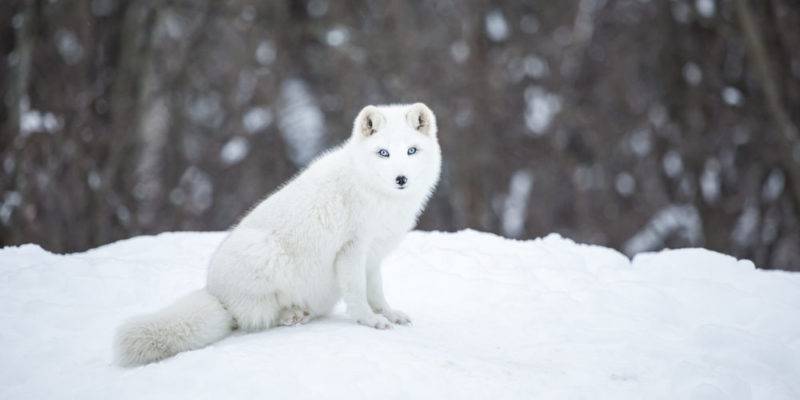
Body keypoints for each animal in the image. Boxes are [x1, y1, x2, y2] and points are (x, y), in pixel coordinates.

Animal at [112, 102, 440, 366]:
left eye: (411, 150)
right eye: (383, 153)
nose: (401, 178)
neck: (376, 194)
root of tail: (215, 294)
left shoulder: (373, 256)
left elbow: (377, 292)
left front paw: (389, 314)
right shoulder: (352, 250)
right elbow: (359, 294)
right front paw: (370, 321)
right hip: (266, 254)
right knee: (255, 319)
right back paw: (290, 315)